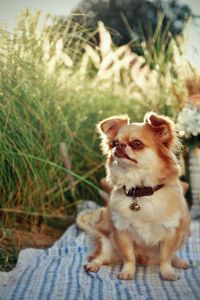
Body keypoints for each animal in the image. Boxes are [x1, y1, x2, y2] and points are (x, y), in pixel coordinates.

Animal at [76, 112, 191, 282]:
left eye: (137, 143)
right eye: (114, 142)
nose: (119, 145)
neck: (140, 190)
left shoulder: (172, 233)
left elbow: (166, 257)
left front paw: (167, 273)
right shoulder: (121, 232)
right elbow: (129, 257)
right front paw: (128, 272)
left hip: (182, 237)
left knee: (171, 256)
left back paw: (180, 262)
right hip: (106, 242)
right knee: (101, 257)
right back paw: (93, 265)